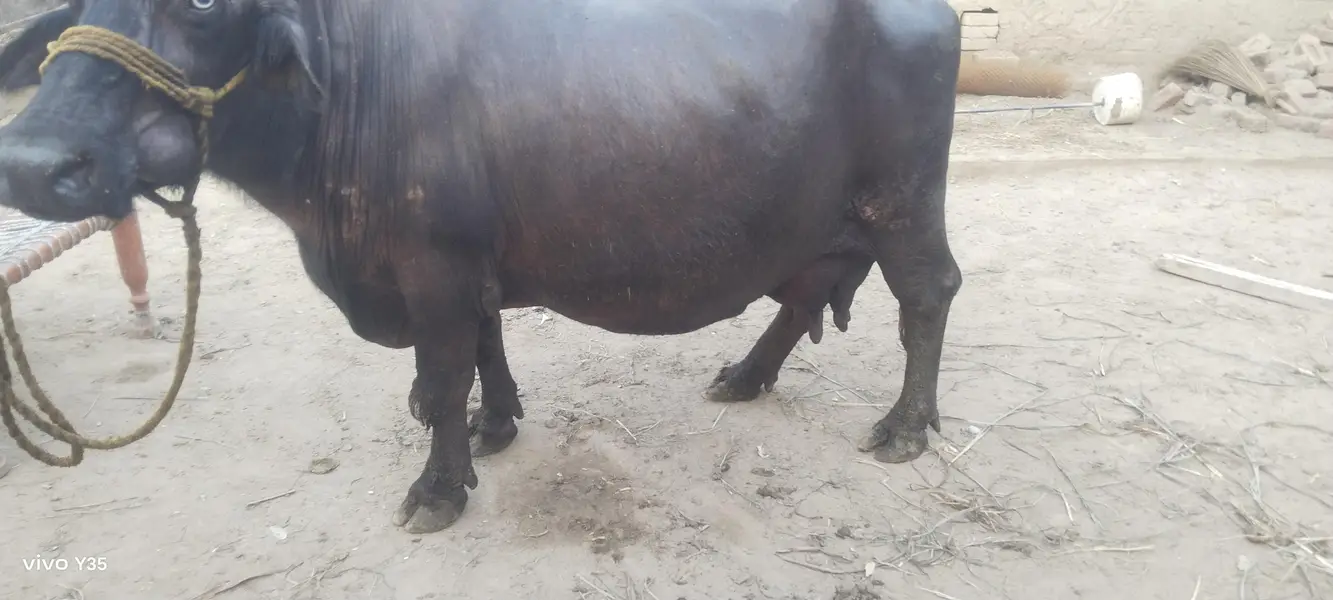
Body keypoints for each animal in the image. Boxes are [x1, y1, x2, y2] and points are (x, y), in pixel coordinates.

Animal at [0, 0, 964, 534]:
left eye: (200, 0)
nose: (34, 164)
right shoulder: (468, 267)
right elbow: (486, 344)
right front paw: (495, 424)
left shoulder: (433, 267)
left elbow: (443, 370)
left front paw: (439, 484)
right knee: (801, 297)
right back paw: (744, 375)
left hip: (904, 206)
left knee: (928, 294)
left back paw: (905, 426)